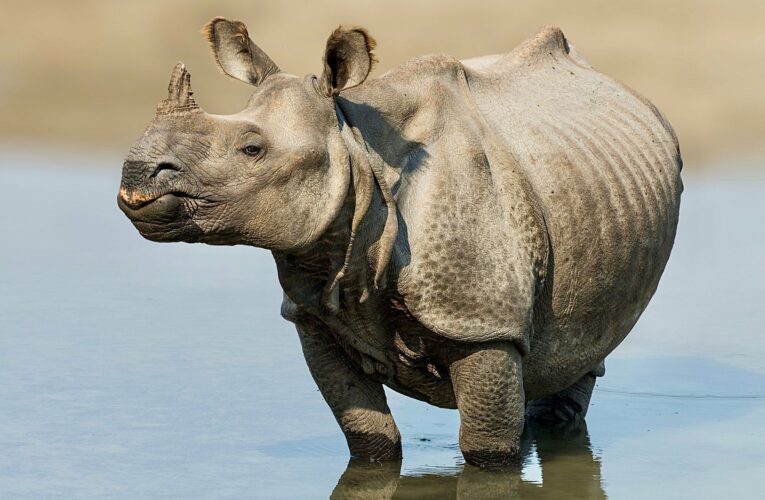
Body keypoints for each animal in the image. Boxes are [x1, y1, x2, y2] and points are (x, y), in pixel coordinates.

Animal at [118, 17, 682, 467]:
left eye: (252, 149)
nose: (136, 174)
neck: (356, 149)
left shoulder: (484, 323)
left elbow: (486, 451)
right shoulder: (314, 315)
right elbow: (369, 439)